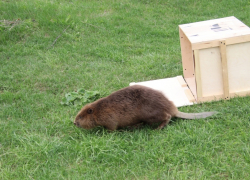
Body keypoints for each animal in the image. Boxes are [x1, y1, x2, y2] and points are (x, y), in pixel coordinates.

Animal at [74, 85, 217, 130]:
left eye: (80, 116)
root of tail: (174, 109)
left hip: (149, 113)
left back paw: (158, 128)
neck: (100, 109)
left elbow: (112, 128)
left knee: (167, 117)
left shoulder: (109, 118)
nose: (75, 123)